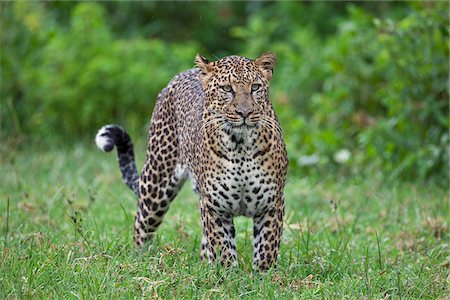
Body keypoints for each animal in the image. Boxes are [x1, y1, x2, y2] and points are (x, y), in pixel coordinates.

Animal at [96, 51, 288, 270]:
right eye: (227, 88)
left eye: (255, 87)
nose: (245, 113)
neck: (240, 145)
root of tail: (184, 73)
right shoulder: (214, 207)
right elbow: (223, 247)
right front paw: (230, 275)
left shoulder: (271, 204)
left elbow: (266, 249)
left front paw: (263, 276)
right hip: (156, 182)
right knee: (141, 225)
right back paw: (139, 261)